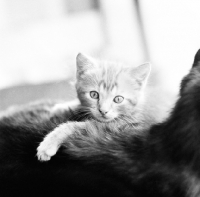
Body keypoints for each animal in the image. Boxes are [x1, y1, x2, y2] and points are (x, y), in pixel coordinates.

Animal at [0, 50, 200, 196]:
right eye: (94, 94)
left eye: (118, 99)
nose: (103, 111)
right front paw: (59, 107)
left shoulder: (117, 129)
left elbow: (76, 126)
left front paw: (48, 144)